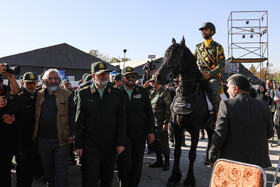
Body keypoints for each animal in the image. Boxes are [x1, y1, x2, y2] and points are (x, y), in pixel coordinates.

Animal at [158, 37, 214, 186]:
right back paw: (207, 158)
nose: (158, 76)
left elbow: (192, 154)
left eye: (175, 55)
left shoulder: (194, 130)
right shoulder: (177, 127)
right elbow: (177, 152)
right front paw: (174, 176)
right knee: (210, 136)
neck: (186, 93)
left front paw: (189, 179)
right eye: (165, 54)